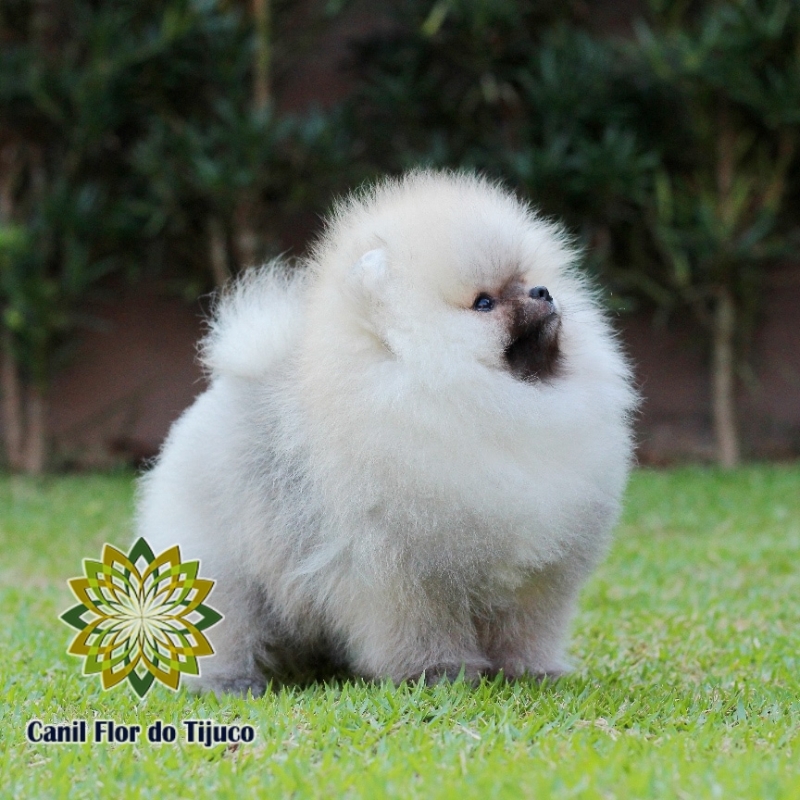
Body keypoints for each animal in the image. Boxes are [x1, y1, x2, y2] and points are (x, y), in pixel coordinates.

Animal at [138, 170, 636, 692]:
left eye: (525, 281)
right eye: (484, 302)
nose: (543, 292)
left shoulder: (538, 579)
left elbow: (526, 628)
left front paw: (531, 671)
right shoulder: (406, 576)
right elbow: (424, 630)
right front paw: (440, 674)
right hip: (222, 563)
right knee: (225, 622)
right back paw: (228, 681)